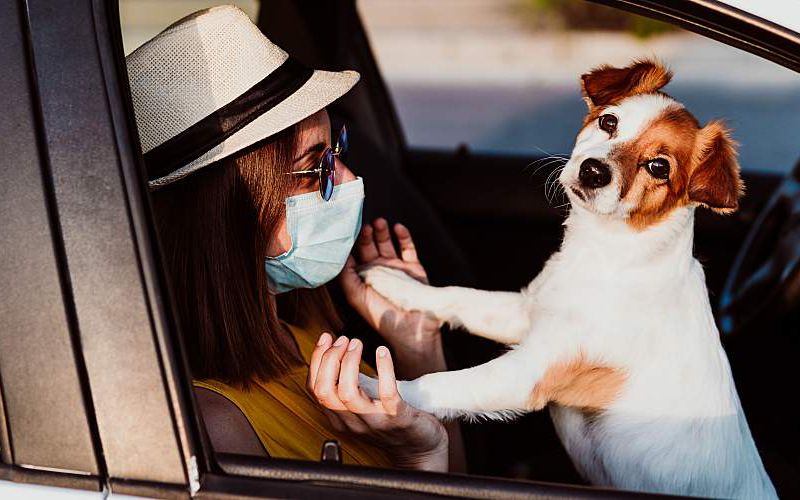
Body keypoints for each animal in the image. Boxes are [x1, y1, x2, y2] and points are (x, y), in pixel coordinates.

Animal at [360, 60, 780, 498]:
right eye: (609, 122)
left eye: (659, 167)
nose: (594, 171)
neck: (606, 258)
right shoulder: (526, 314)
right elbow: (460, 297)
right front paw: (396, 283)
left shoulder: (526, 373)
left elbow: (439, 384)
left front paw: (370, 389)